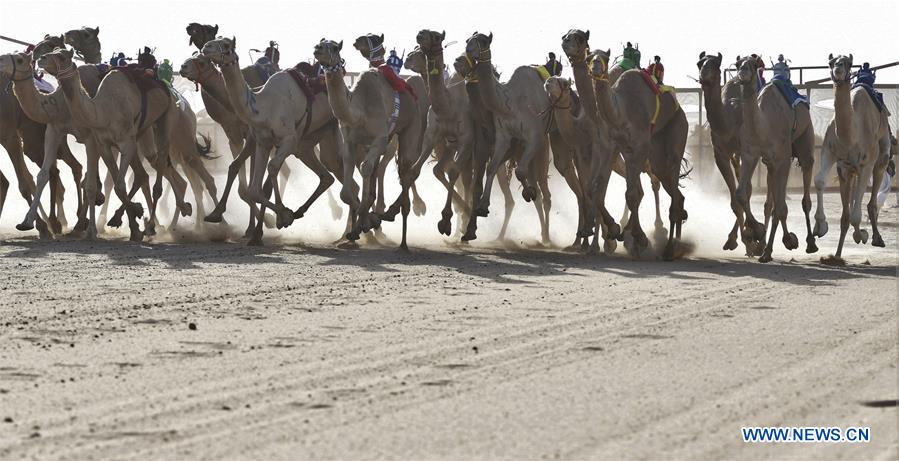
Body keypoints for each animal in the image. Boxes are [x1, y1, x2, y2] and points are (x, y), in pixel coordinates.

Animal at [38, 46, 176, 241]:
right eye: (55, 49)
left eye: (62, 56)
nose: (41, 58)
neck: (104, 110)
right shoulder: (104, 144)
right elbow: (118, 185)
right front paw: (133, 221)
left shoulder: (125, 142)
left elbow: (119, 185)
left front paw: (135, 220)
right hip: (139, 133)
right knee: (142, 174)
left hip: (167, 114)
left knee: (160, 167)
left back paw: (151, 226)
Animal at [312, 37, 426, 250]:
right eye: (321, 42)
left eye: (334, 47)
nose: (318, 48)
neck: (359, 111)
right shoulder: (350, 142)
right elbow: (346, 191)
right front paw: (362, 225)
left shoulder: (380, 138)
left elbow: (366, 169)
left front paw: (368, 221)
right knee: (382, 172)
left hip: (411, 127)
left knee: (405, 170)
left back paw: (400, 229)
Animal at [588, 49, 684, 260]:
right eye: (588, 57)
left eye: (605, 57)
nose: (596, 66)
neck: (621, 112)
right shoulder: (611, 147)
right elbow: (597, 190)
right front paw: (616, 229)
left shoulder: (639, 147)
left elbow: (632, 194)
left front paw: (639, 238)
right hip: (657, 158)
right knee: (677, 196)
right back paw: (675, 246)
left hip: (676, 135)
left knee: (673, 198)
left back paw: (670, 249)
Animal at [736, 54, 820, 262]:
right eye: (738, 63)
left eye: (752, 64)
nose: (743, 72)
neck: (763, 127)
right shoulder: (749, 155)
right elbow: (741, 194)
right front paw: (758, 233)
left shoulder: (782, 159)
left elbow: (781, 208)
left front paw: (783, 243)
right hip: (770, 165)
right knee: (770, 204)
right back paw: (765, 244)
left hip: (805, 141)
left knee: (804, 198)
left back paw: (810, 243)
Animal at [816, 53, 892, 262]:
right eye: (831, 62)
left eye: (849, 63)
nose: (838, 69)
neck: (851, 134)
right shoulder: (834, 158)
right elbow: (820, 181)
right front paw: (821, 227)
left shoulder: (866, 164)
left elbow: (855, 215)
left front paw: (862, 235)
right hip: (850, 171)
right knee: (849, 209)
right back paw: (839, 252)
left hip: (880, 156)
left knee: (872, 200)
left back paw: (876, 238)